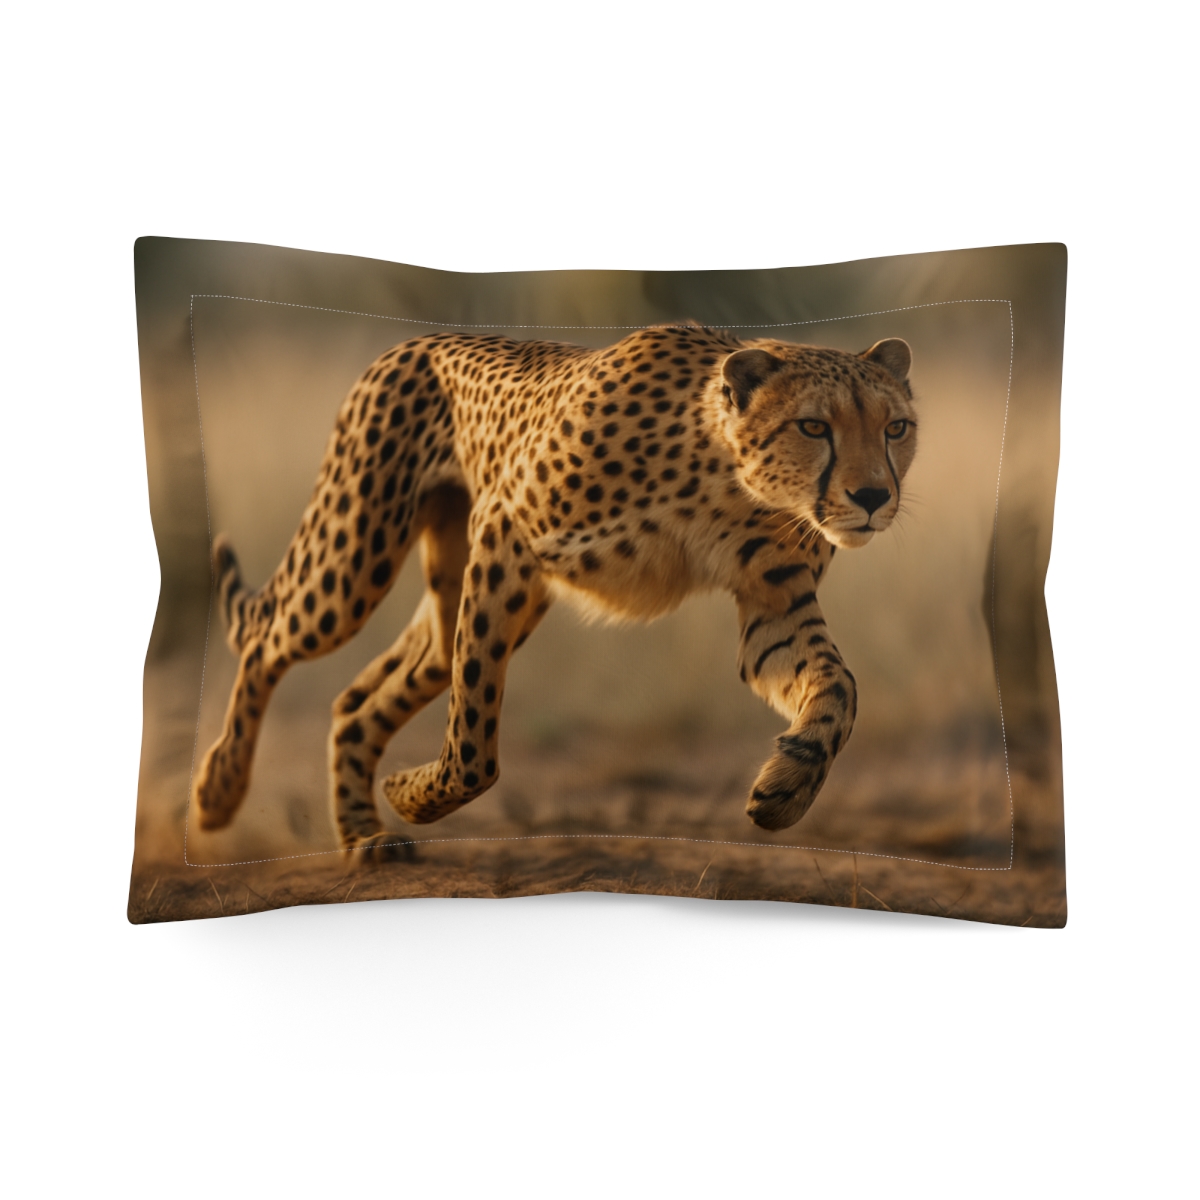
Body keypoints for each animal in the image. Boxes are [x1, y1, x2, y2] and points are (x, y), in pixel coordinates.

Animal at [191, 323, 917, 859]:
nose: (873, 497)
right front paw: (415, 792)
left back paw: (364, 835)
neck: (732, 481)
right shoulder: (505, 531)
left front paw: (789, 784)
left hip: (465, 601)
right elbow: (476, 742)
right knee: (266, 640)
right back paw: (219, 791)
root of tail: (410, 342)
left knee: (359, 698)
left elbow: (839, 687)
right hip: (354, 565)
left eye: (896, 428)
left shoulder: (775, 605)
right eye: (813, 426)